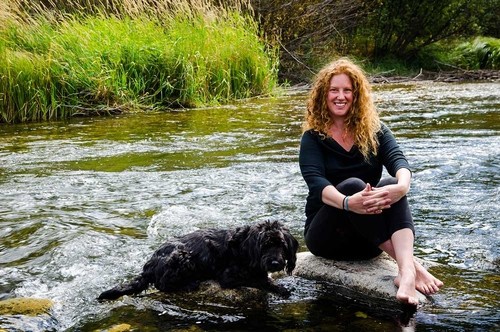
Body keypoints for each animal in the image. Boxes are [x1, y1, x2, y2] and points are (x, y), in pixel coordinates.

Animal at [99, 220, 298, 300]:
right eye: (265, 245)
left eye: (282, 245)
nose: (275, 263)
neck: (244, 246)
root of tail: (149, 265)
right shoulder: (229, 276)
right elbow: (259, 280)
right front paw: (280, 289)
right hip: (181, 255)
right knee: (163, 284)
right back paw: (190, 283)